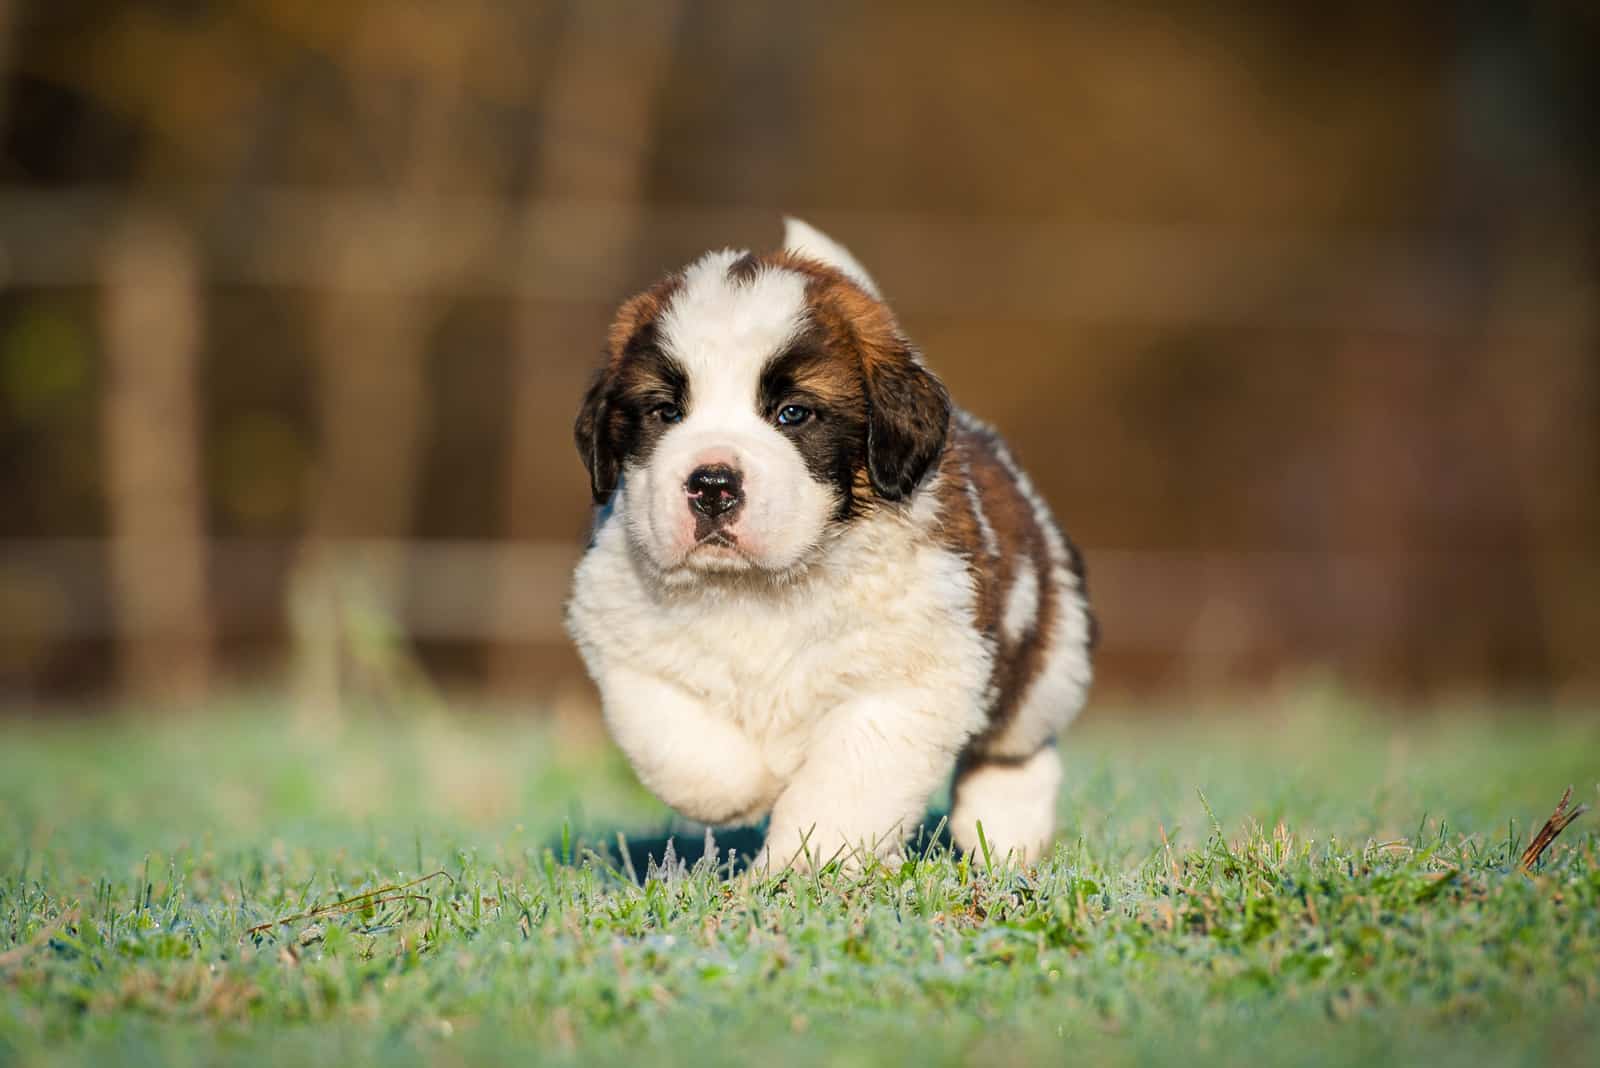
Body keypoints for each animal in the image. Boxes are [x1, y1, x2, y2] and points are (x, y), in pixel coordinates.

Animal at [566, 220, 1100, 869]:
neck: (759, 589)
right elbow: (685, 749)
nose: (713, 485)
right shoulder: (625, 640)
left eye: (794, 414)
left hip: (1046, 649)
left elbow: (845, 787)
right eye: (665, 412)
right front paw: (751, 788)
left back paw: (1004, 835)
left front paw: (804, 866)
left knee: (1018, 747)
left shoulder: (906, 679)